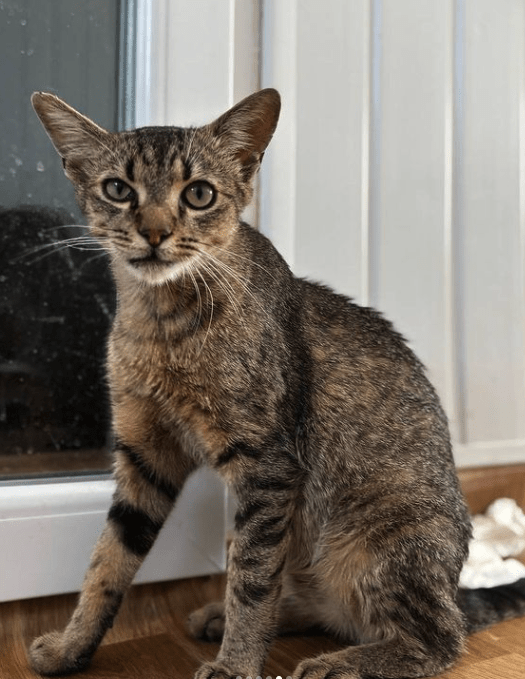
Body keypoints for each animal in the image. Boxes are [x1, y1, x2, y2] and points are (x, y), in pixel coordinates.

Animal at [27, 89, 524, 679]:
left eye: (198, 194)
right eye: (118, 189)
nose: (154, 232)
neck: (161, 325)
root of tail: (454, 589)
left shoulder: (267, 465)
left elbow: (252, 577)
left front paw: (236, 664)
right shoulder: (145, 455)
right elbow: (106, 563)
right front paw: (72, 646)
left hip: (377, 540)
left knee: (439, 639)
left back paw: (341, 661)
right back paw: (235, 617)